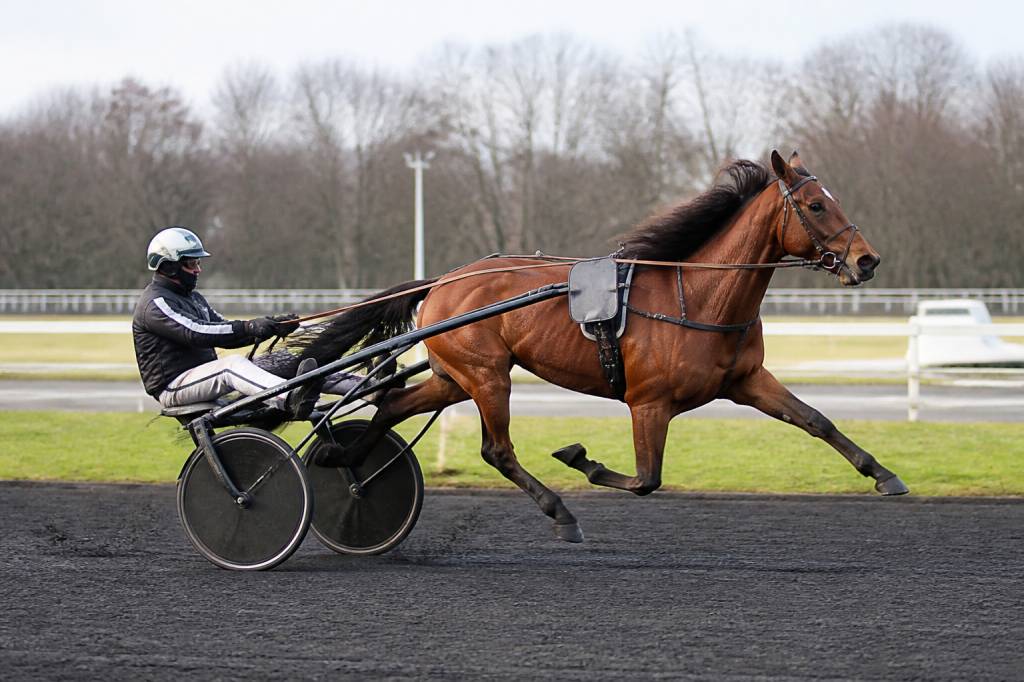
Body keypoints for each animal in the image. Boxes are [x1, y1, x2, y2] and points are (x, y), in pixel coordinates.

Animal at [293, 150, 908, 542]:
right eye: (817, 205)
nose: (867, 260)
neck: (697, 296)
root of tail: (443, 280)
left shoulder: (747, 380)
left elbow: (816, 420)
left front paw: (884, 475)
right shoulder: (649, 402)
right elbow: (646, 479)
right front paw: (581, 460)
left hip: (454, 376)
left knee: (391, 405)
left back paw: (343, 461)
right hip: (488, 375)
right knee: (496, 450)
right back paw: (559, 511)